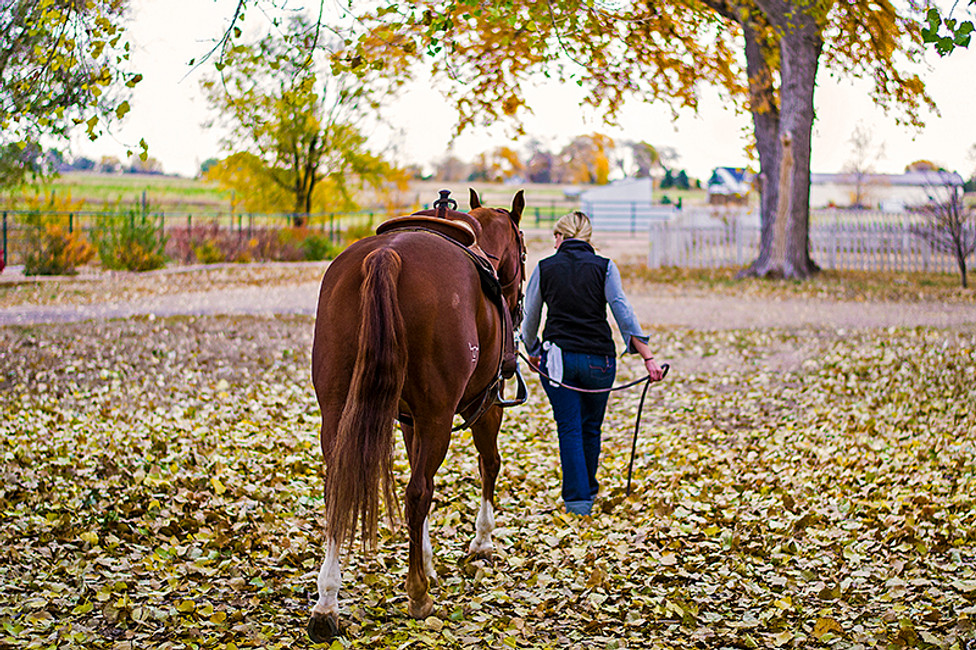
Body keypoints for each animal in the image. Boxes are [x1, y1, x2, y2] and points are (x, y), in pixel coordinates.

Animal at [310, 187, 528, 636]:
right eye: (524, 250)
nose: (518, 309)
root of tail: (386, 256)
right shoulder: (482, 406)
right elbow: (488, 465)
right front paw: (481, 543)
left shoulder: (411, 421)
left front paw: (425, 560)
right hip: (439, 415)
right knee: (418, 492)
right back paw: (417, 596)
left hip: (338, 410)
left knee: (339, 487)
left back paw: (327, 602)